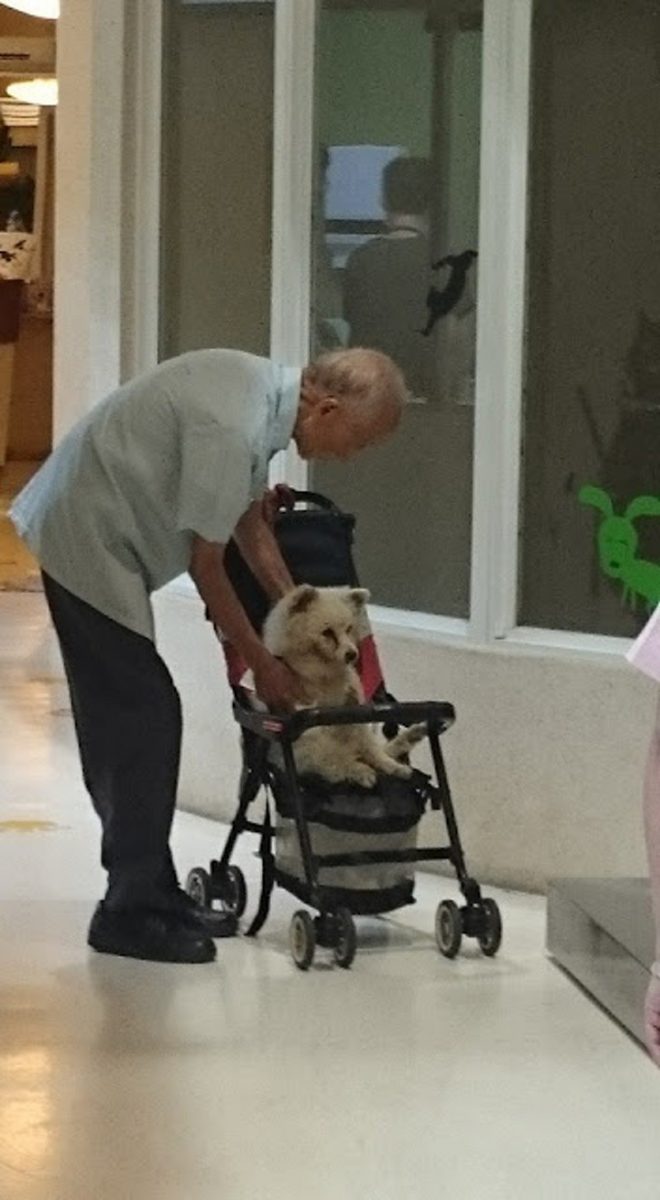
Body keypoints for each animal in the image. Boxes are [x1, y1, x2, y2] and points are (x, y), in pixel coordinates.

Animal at [262, 585, 424, 792]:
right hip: (309, 751)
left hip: (357, 733)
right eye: (327, 632)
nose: (352, 654)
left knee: (373, 753)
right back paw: (360, 770)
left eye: (349, 629)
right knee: (336, 762)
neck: (323, 668)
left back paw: (394, 765)